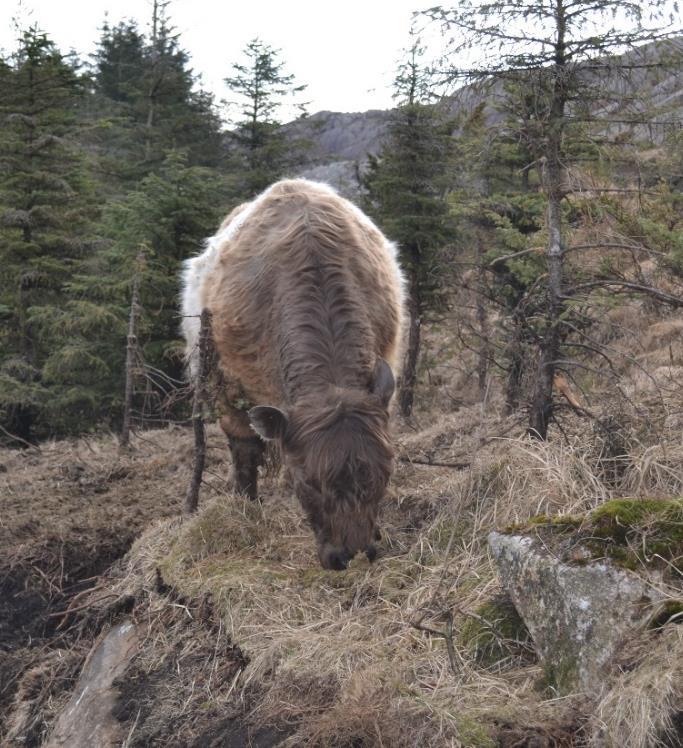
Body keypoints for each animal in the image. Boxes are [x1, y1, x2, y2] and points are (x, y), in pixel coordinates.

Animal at [182, 178, 406, 568]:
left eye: (385, 472)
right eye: (307, 483)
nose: (352, 555)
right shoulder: (229, 388)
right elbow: (244, 453)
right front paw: (247, 509)